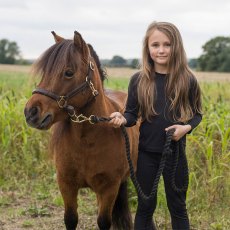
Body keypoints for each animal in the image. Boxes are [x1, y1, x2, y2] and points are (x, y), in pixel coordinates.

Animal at [23, 31, 138, 230]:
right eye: (46, 71)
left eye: (69, 72)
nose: (31, 112)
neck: (87, 140)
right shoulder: (66, 185)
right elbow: (70, 219)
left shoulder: (109, 188)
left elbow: (104, 221)